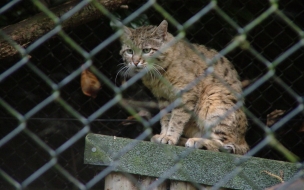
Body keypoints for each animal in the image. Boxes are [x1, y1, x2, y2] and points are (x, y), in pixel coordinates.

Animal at [119, 20, 249, 155]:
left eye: (146, 50)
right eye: (129, 51)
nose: (135, 62)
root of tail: (244, 140)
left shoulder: (186, 93)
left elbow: (177, 118)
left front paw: (169, 137)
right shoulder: (164, 97)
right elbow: (166, 118)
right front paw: (164, 135)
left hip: (215, 101)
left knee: (225, 144)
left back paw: (199, 142)